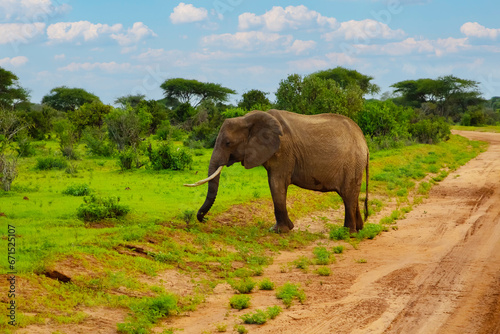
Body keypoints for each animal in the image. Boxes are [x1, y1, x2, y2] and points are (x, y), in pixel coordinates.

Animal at [186, 109, 370, 232]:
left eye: (228, 143)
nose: (204, 219)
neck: (248, 119)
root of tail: (364, 143)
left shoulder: (283, 151)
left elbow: (276, 184)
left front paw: (279, 231)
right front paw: (286, 228)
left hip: (352, 163)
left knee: (348, 195)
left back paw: (348, 232)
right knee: (351, 196)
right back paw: (358, 229)